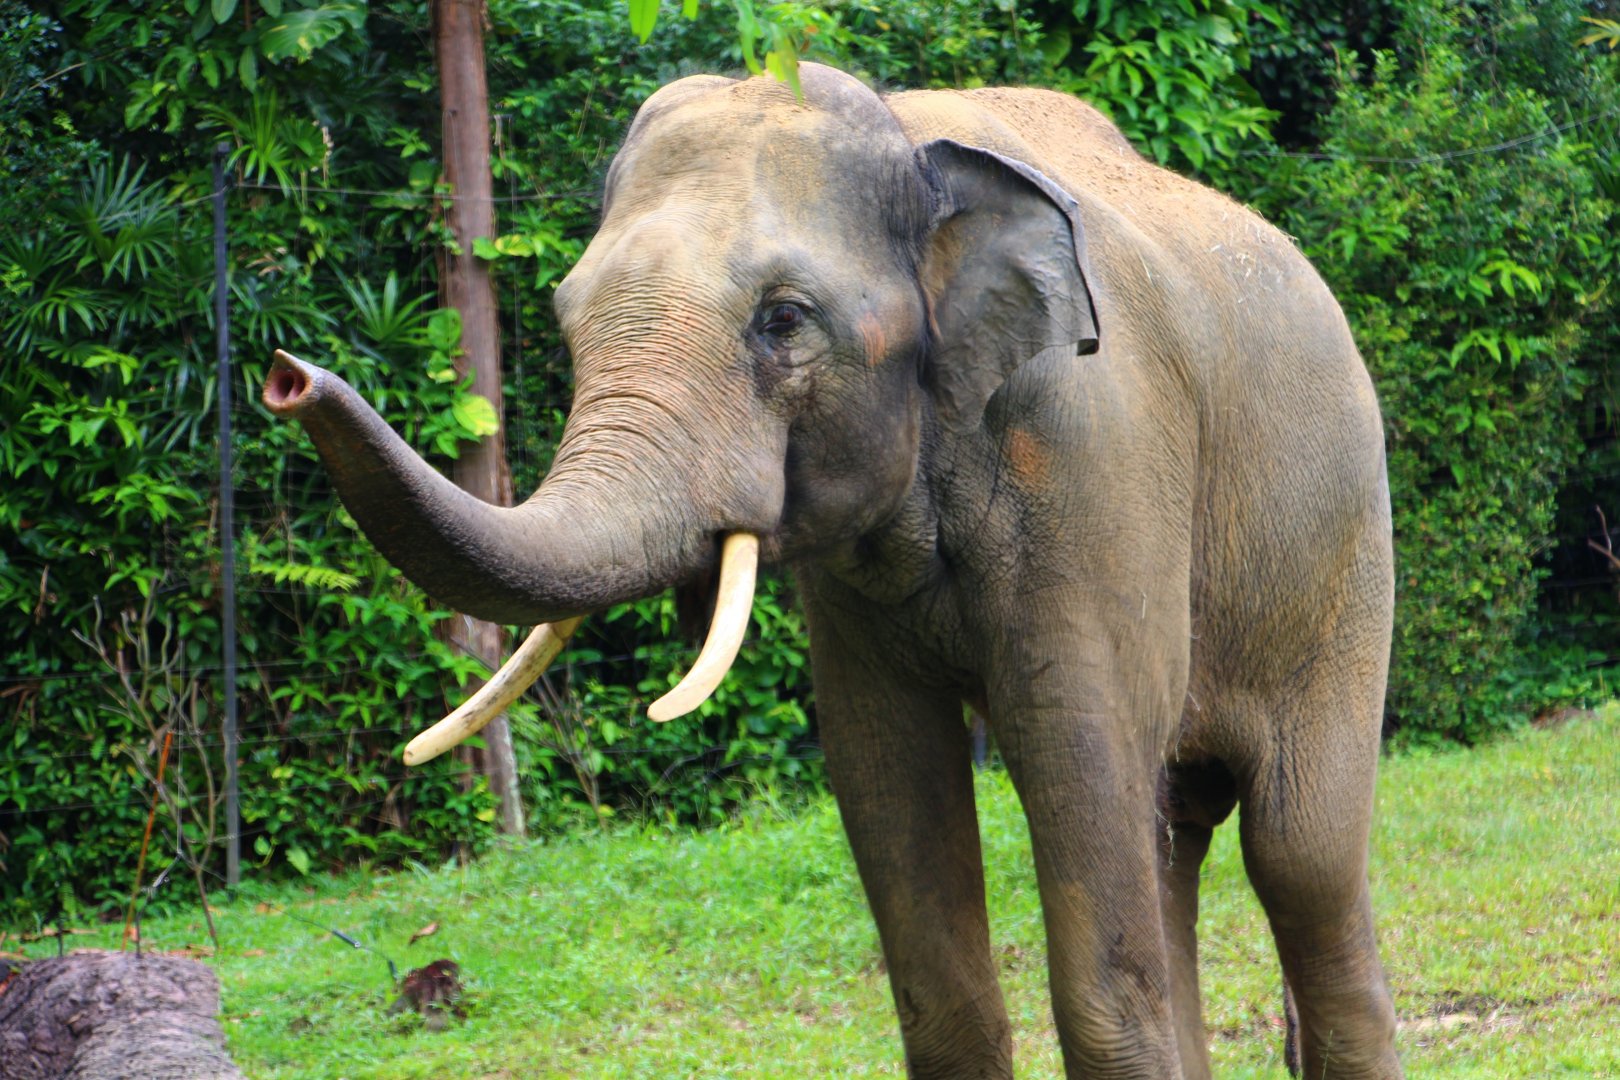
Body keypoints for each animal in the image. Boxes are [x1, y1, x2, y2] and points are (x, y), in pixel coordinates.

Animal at [264, 63, 1401, 1079]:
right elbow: (886, 774)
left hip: (1347, 562)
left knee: (1299, 856)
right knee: (1176, 838)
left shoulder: (1096, 461)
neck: (915, 141)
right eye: (563, 314)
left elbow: (1079, 753)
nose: (284, 375)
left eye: (782, 320)